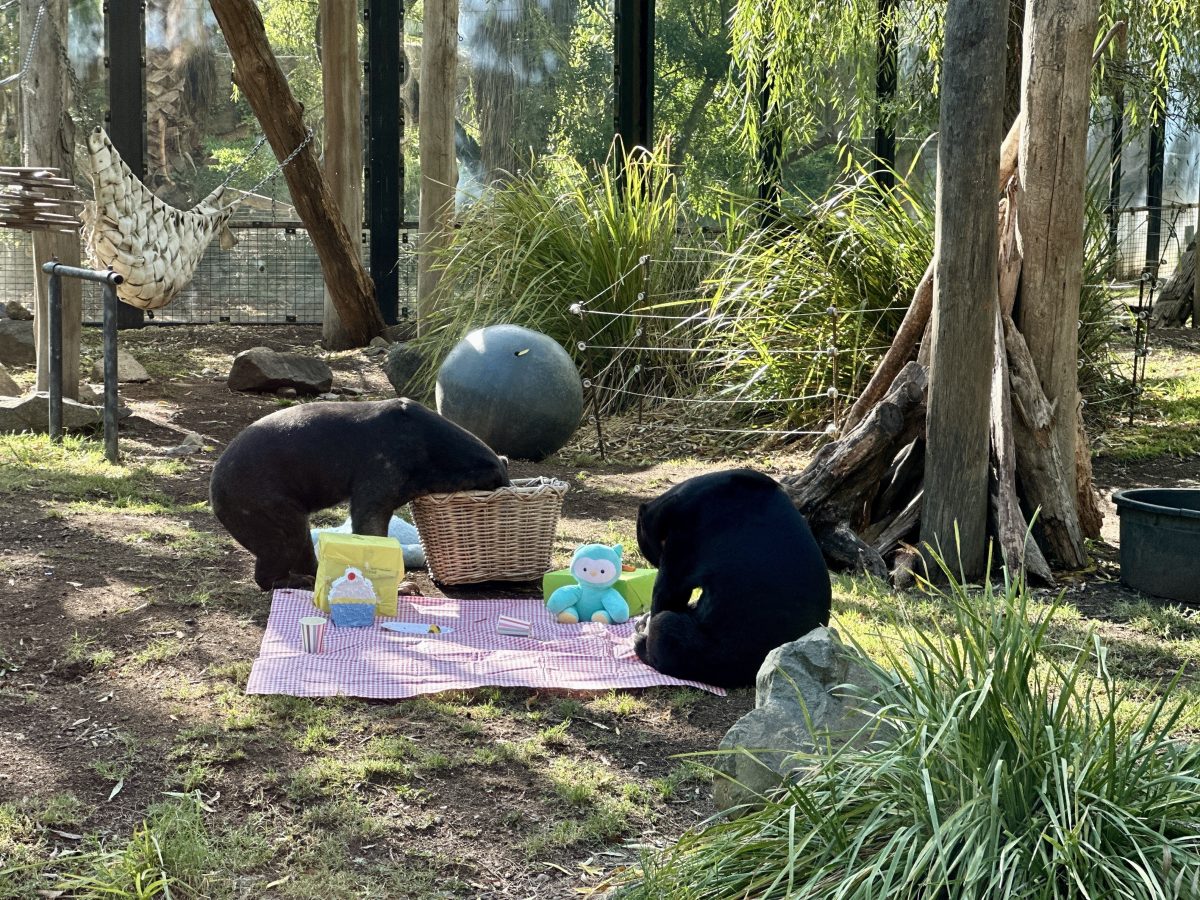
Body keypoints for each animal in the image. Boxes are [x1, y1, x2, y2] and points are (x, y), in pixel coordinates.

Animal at [210, 398, 506, 588]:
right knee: (280, 549)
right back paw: (294, 581)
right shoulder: (383, 465)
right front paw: (400, 587)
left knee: (302, 544)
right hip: (262, 504)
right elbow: (369, 522)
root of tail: (215, 486)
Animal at [633, 465, 830, 691]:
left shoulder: (687, 536)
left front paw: (645, 624)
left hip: (707, 651)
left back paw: (641, 642)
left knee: (666, 628)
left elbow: (668, 592)